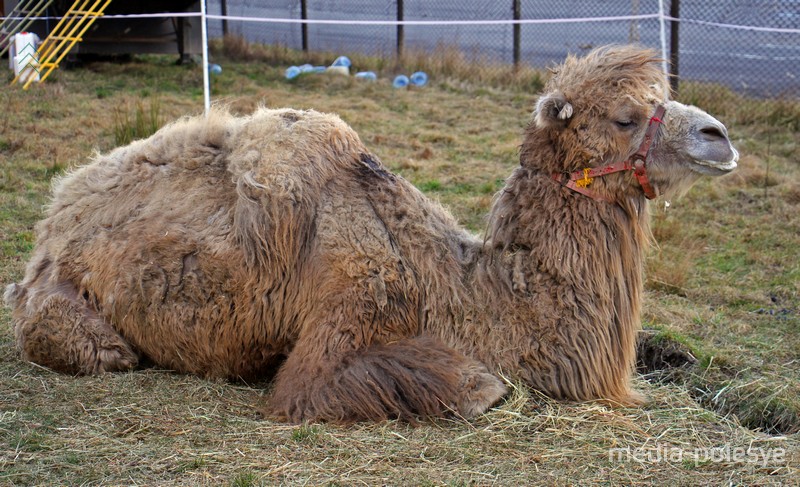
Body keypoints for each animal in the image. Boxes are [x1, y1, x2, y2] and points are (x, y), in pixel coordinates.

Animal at [3, 47, 736, 426]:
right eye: (624, 117)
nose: (719, 136)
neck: (454, 284)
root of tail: (55, 213)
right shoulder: (348, 309)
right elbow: (476, 388)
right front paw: (481, 384)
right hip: (62, 301)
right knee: (91, 344)